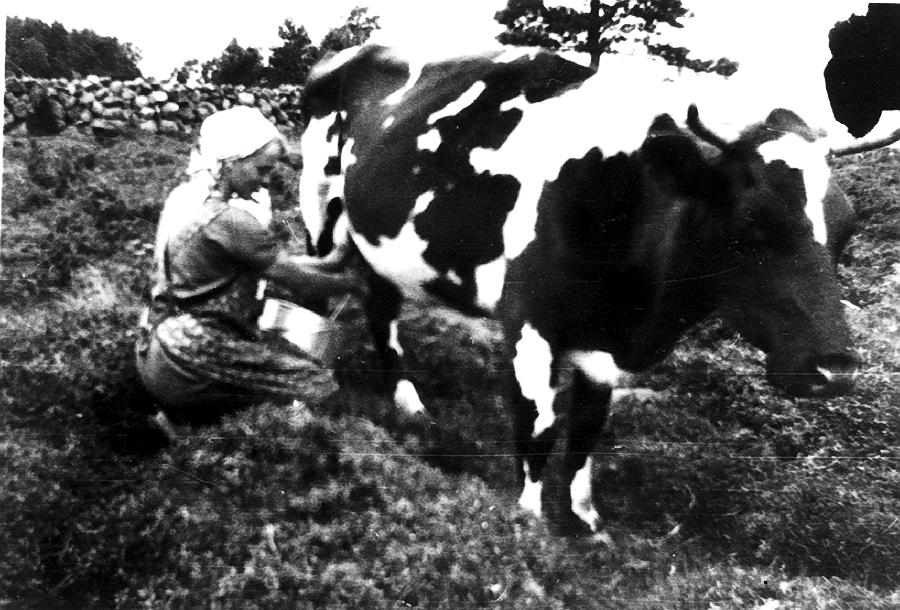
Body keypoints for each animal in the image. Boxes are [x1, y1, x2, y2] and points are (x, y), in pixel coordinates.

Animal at [297, 44, 865, 534]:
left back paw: (408, 403)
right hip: (320, 209)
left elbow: (587, 430)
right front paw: (528, 521)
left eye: (848, 231)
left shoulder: (604, 343)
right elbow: (538, 427)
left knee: (380, 308)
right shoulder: (529, 323)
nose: (834, 370)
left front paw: (584, 520)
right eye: (752, 221)